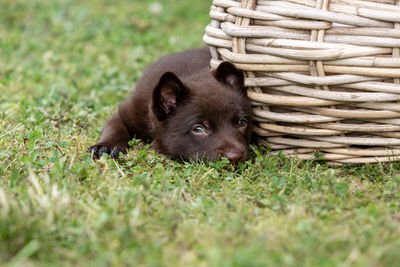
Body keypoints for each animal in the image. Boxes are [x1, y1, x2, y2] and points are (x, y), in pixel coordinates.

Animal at [88, 47, 252, 162]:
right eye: (198, 129)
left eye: (241, 122)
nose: (236, 157)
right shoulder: (127, 111)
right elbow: (115, 126)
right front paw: (106, 146)